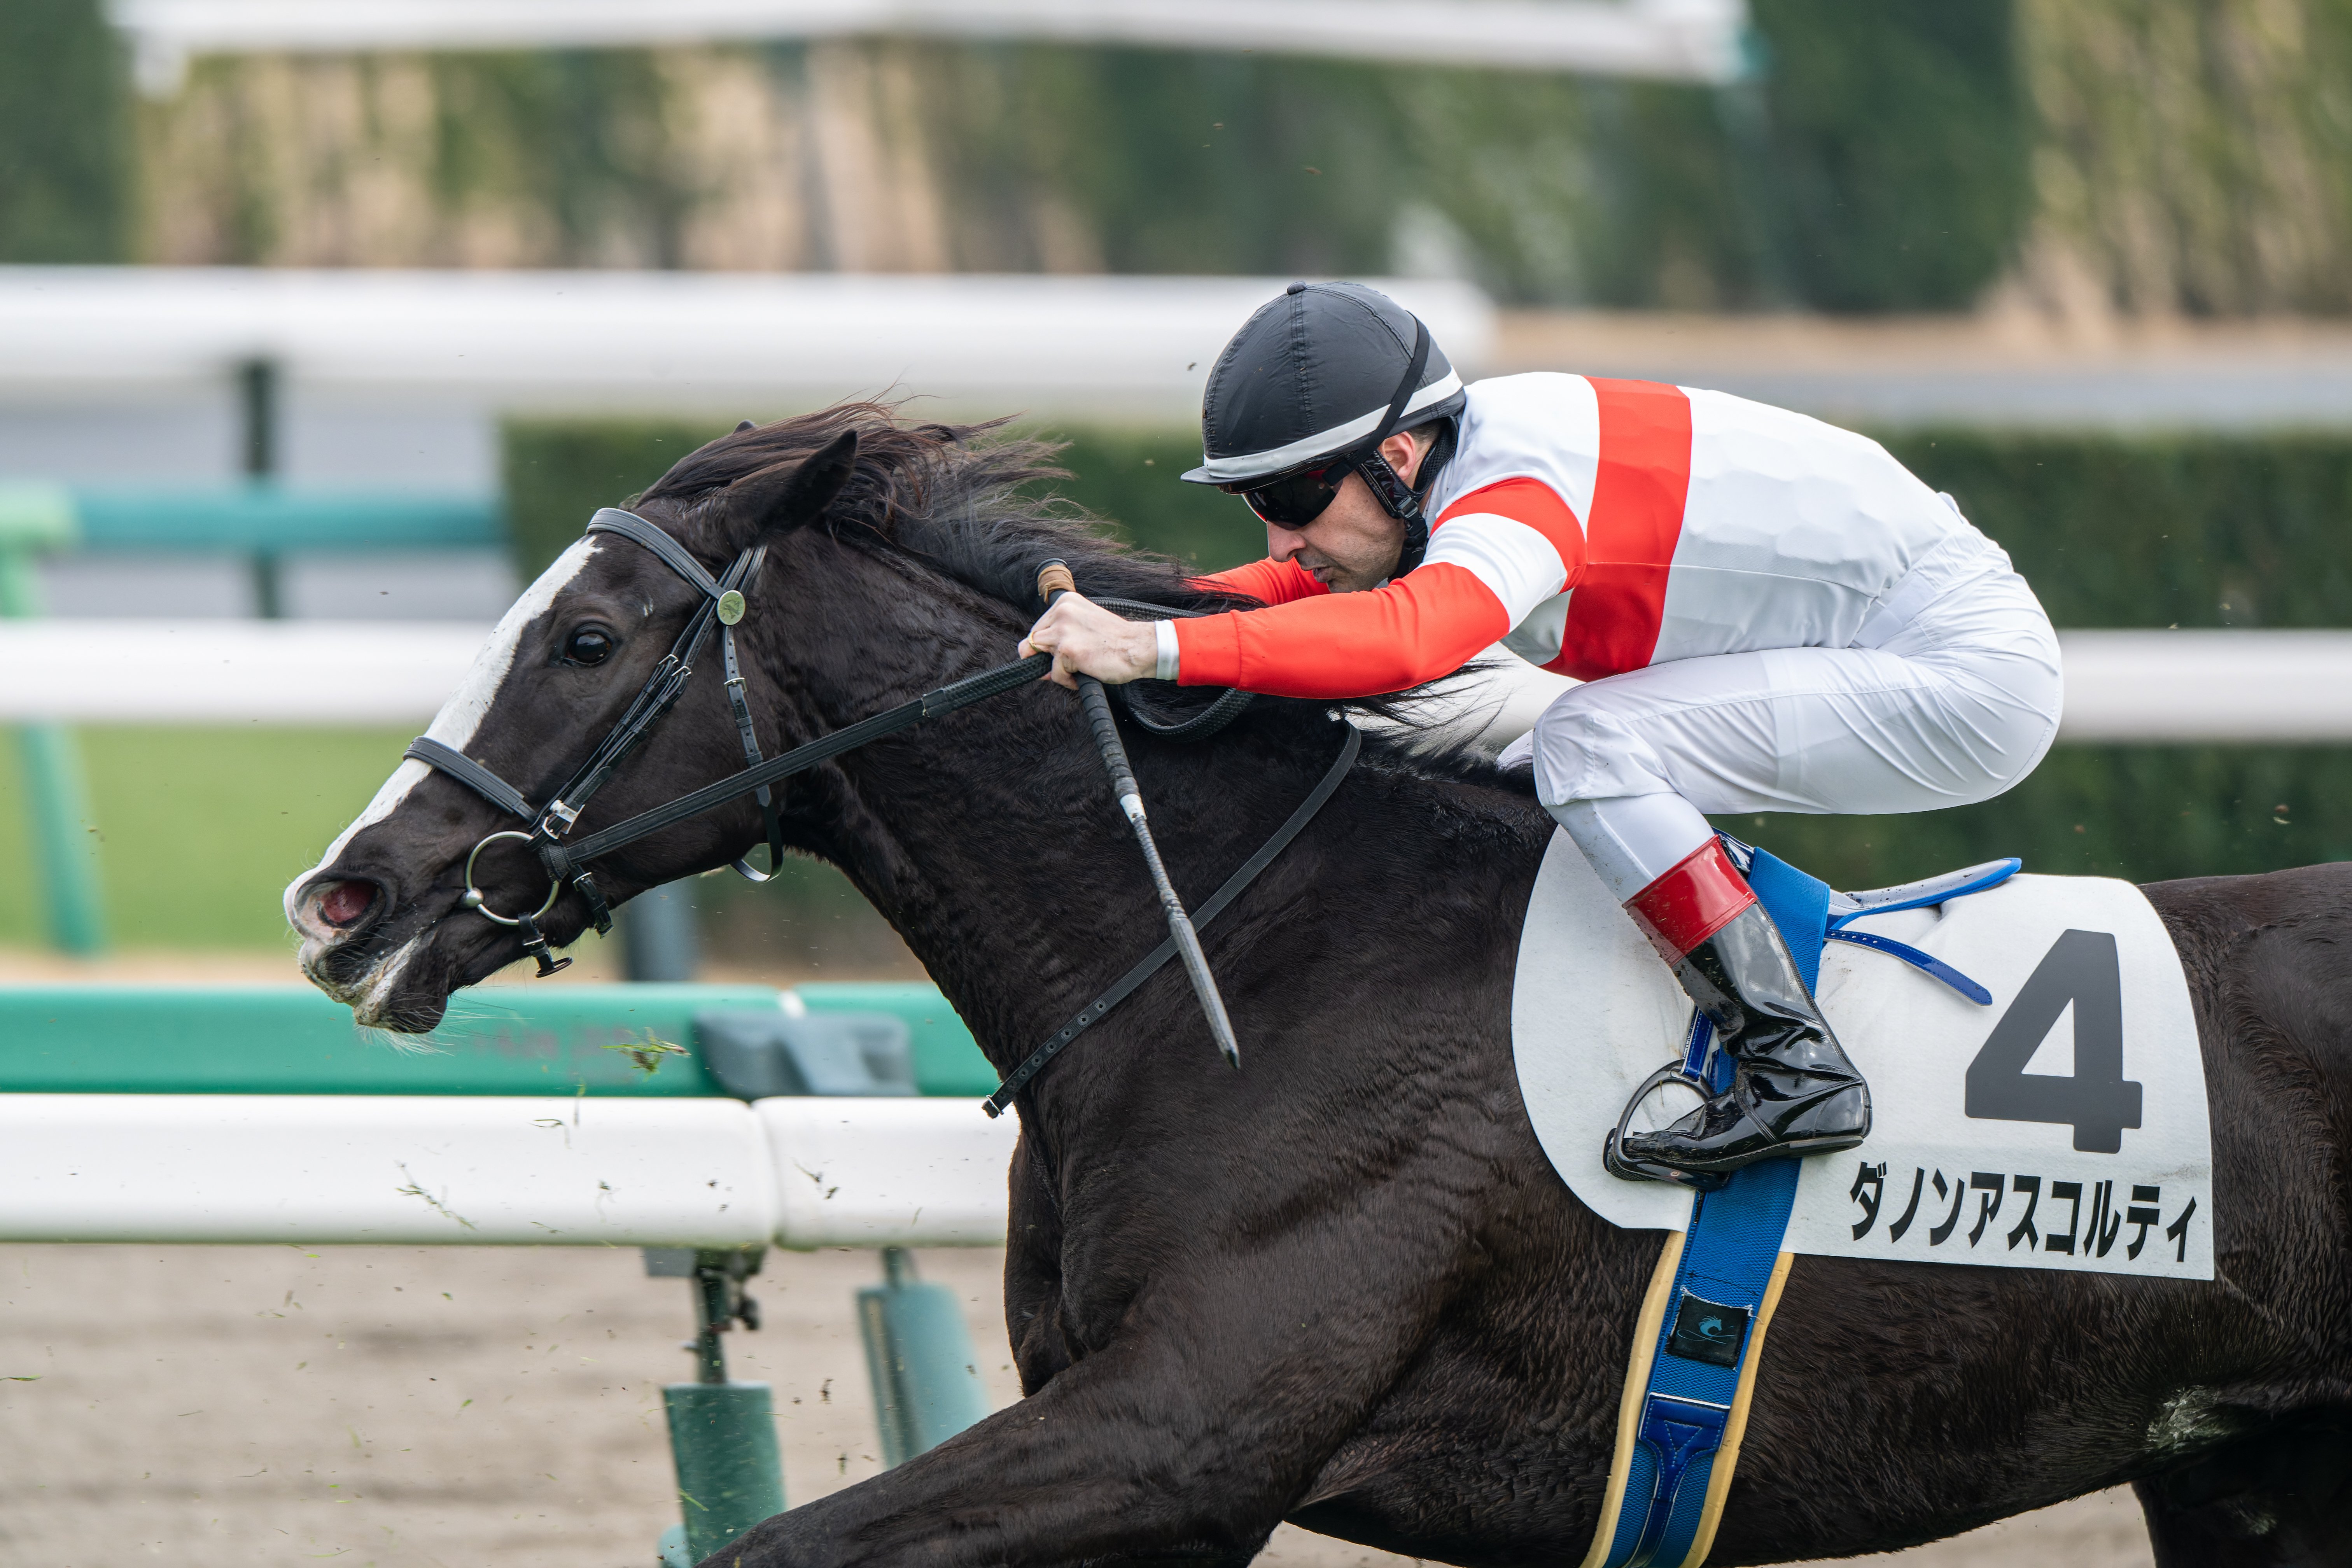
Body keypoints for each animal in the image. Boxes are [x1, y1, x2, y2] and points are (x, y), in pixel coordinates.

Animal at [287, 405, 2352, 1567]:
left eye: (583, 638)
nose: (341, 898)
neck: (1254, 955)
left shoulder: (1179, 1434)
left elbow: (773, 1551)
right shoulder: (1144, 1469)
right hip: (2250, 1477)